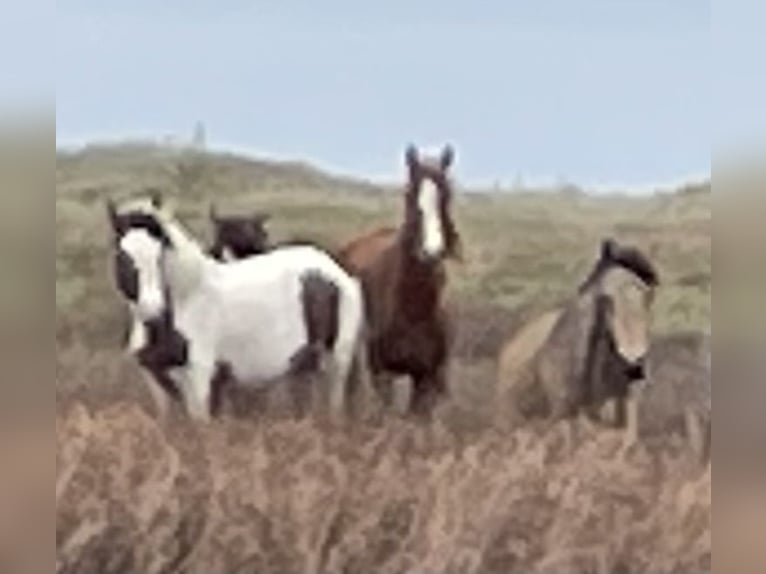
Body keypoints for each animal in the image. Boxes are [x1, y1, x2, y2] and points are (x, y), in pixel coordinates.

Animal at [106, 193, 369, 422]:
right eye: (123, 256)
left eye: (160, 256)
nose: (152, 311)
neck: (187, 298)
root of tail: (335, 271)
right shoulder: (157, 382)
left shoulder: (200, 381)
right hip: (304, 368)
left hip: (337, 362)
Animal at [338, 144, 463, 418]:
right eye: (409, 194)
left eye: (447, 195)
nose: (432, 252)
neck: (412, 311)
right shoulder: (382, 374)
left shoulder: (426, 380)